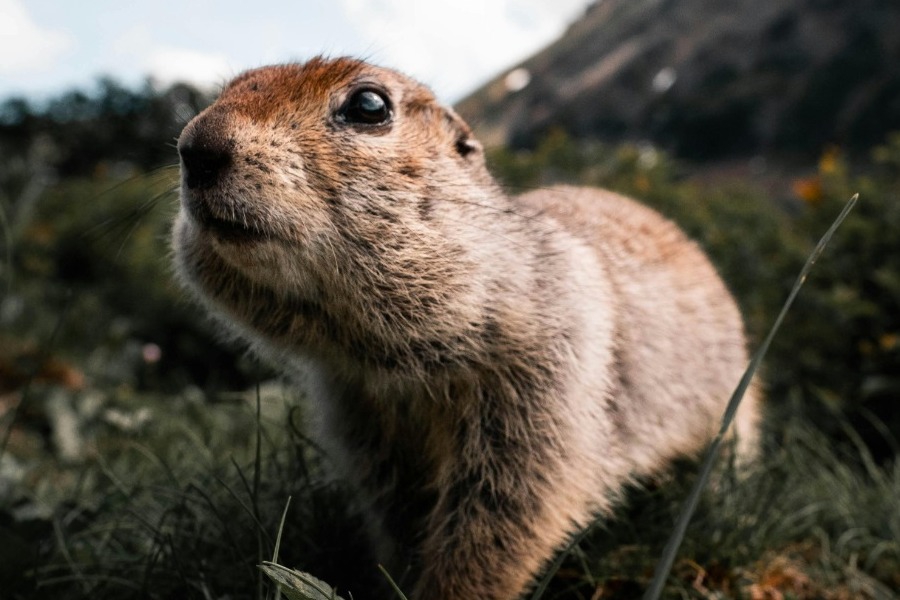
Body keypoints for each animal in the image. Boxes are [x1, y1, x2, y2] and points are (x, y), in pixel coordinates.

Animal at [171, 56, 760, 600]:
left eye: (369, 105)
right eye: (228, 85)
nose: (195, 146)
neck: (388, 356)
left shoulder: (540, 380)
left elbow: (510, 505)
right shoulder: (360, 411)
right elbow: (397, 508)